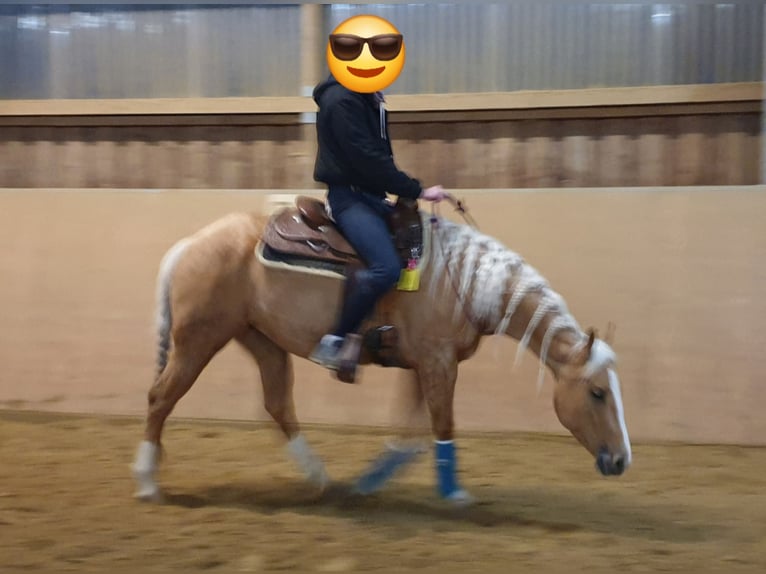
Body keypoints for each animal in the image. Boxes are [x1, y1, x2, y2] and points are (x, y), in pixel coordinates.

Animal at [134, 200, 636, 506]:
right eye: (596, 393)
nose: (620, 461)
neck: (462, 280)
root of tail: (190, 245)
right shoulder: (437, 364)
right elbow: (442, 426)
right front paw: (454, 494)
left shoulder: (425, 364)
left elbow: (412, 432)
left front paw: (372, 480)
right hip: (199, 340)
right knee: (161, 397)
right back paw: (146, 481)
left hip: (261, 339)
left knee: (277, 403)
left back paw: (318, 477)